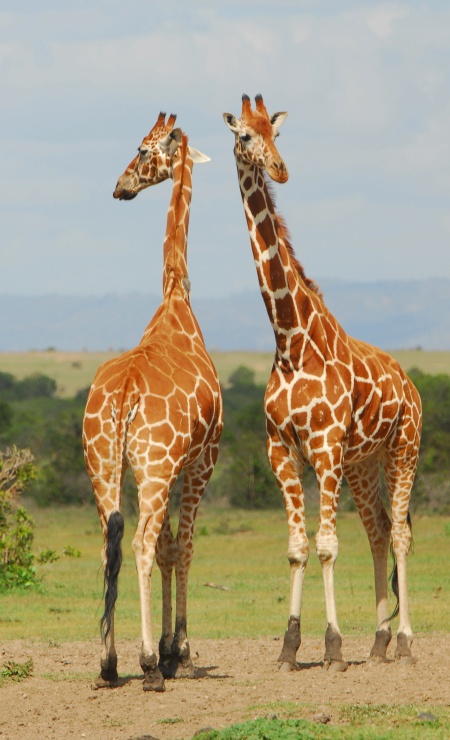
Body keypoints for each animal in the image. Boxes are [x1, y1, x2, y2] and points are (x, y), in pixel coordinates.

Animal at [223, 94, 422, 672]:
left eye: (278, 134)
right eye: (245, 135)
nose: (280, 170)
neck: (291, 342)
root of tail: (412, 385)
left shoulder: (326, 447)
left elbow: (328, 544)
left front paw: (332, 646)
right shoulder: (281, 448)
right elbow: (298, 547)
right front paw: (290, 647)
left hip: (403, 449)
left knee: (400, 533)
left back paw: (404, 642)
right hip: (362, 462)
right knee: (379, 530)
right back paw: (378, 642)